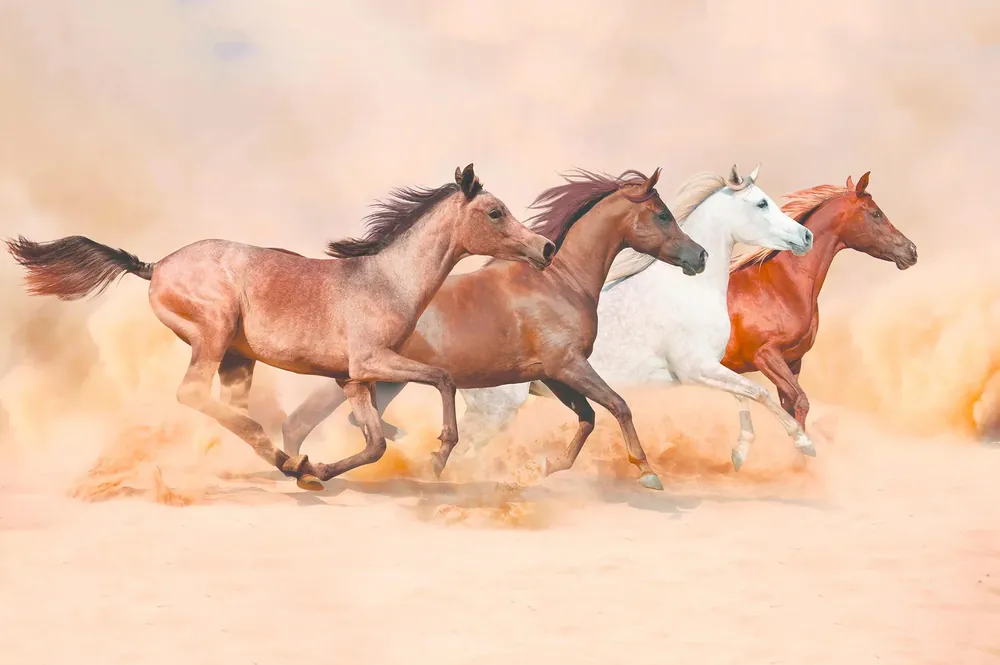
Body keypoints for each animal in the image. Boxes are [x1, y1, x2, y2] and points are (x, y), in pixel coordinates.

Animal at [5, 164, 556, 491]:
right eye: (495, 212)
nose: (546, 248)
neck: (386, 280)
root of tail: (155, 266)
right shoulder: (373, 361)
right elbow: (442, 379)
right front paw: (439, 455)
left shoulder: (353, 378)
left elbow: (375, 443)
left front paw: (318, 472)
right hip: (215, 332)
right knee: (193, 394)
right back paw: (283, 459)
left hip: (237, 358)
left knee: (226, 405)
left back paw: (287, 462)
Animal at [279, 167, 709, 490]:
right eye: (663, 214)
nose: (700, 255)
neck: (559, 282)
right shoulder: (569, 366)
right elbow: (619, 405)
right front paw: (647, 472)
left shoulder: (552, 373)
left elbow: (587, 417)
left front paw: (547, 467)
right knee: (301, 423)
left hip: (384, 381)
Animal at [326, 165, 819, 475]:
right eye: (761, 204)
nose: (698, 257)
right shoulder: (688, 368)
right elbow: (759, 396)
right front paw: (803, 443)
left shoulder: (705, 368)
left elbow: (746, 397)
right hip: (493, 406)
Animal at [722, 171, 917, 467]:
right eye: (875, 213)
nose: (911, 251)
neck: (781, 285)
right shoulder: (765, 356)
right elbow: (799, 402)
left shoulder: (792, 361)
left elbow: (793, 407)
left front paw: (800, 462)